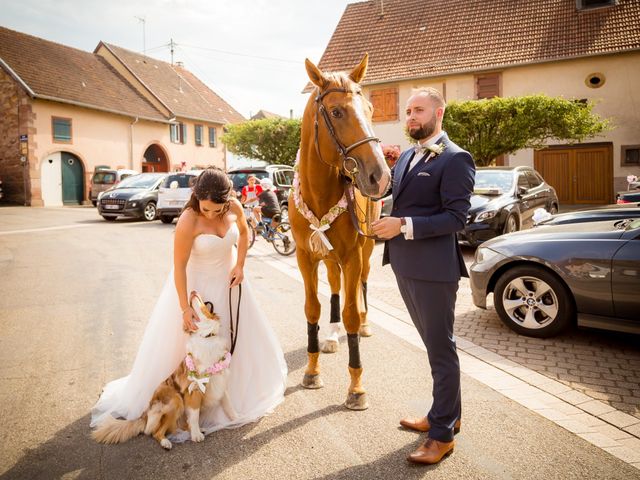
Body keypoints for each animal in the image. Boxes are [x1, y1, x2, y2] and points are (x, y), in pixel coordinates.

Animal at [91, 288, 236, 450]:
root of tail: (144, 415)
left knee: (176, 426)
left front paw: (236, 419)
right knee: (156, 432)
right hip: (175, 399)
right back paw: (167, 442)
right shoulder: (194, 388)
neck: (206, 338)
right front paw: (196, 435)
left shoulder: (220, 379)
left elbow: (228, 404)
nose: (192, 291)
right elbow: (194, 414)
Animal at [288, 55, 390, 408]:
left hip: (366, 252)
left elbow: (351, 314)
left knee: (360, 287)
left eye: (371, 109)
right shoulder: (306, 258)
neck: (319, 195)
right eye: (336, 112)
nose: (380, 176)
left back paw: (366, 323)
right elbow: (313, 309)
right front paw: (312, 370)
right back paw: (332, 335)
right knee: (334, 287)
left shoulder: (353, 255)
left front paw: (356, 387)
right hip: (329, 257)